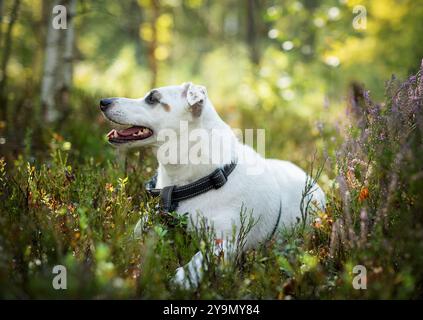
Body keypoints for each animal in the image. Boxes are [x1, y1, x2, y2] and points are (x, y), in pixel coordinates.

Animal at [101, 82, 326, 288]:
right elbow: (129, 239)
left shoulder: (226, 242)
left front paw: (182, 279)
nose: (103, 102)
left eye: (152, 99)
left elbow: (199, 261)